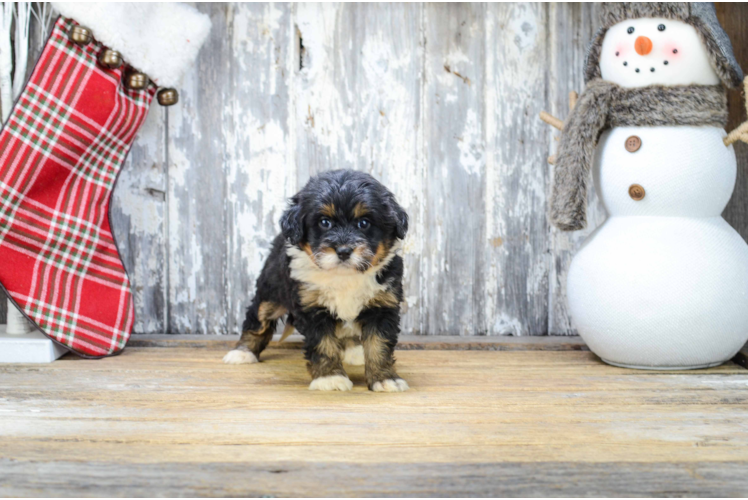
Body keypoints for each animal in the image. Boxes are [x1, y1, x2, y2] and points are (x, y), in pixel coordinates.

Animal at [224, 170, 410, 392]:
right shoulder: (312, 308)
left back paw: (354, 351)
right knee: (257, 319)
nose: (344, 251)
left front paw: (385, 379)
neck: (343, 276)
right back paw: (242, 352)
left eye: (364, 223)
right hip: (270, 292)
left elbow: (379, 345)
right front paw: (330, 378)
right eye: (324, 222)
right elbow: (324, 344)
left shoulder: (382, 306)